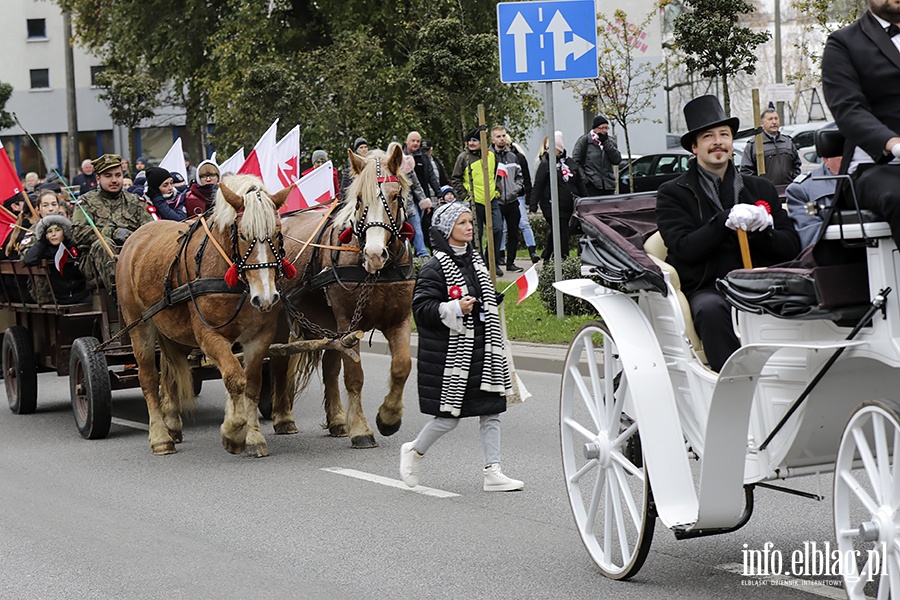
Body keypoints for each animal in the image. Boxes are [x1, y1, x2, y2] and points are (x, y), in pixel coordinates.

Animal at [118, 176, 290, 458]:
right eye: (243, 235)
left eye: (277, 233)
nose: (265, 298)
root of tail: (137, 236)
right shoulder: (209, 336)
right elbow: (235, 378)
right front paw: (233, 432)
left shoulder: (260, 337)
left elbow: (252, 383)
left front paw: (253, 436)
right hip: (139, 326)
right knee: (148, 377)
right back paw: (160, 437)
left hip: (172, 330)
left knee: (169, 370)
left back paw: (172, 423)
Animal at [272, 143, 416, 448]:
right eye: (360, 199)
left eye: (395, 196)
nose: (374, 254)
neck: (377, 273)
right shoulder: (349, 323)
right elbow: (354, 376)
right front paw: (361, 429)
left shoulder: (399, 319)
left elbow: (402, 366)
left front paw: (388, 418)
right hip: (278, 319)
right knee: (278, 360)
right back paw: (283, 417)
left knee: (329, 367)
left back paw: (338, 420)